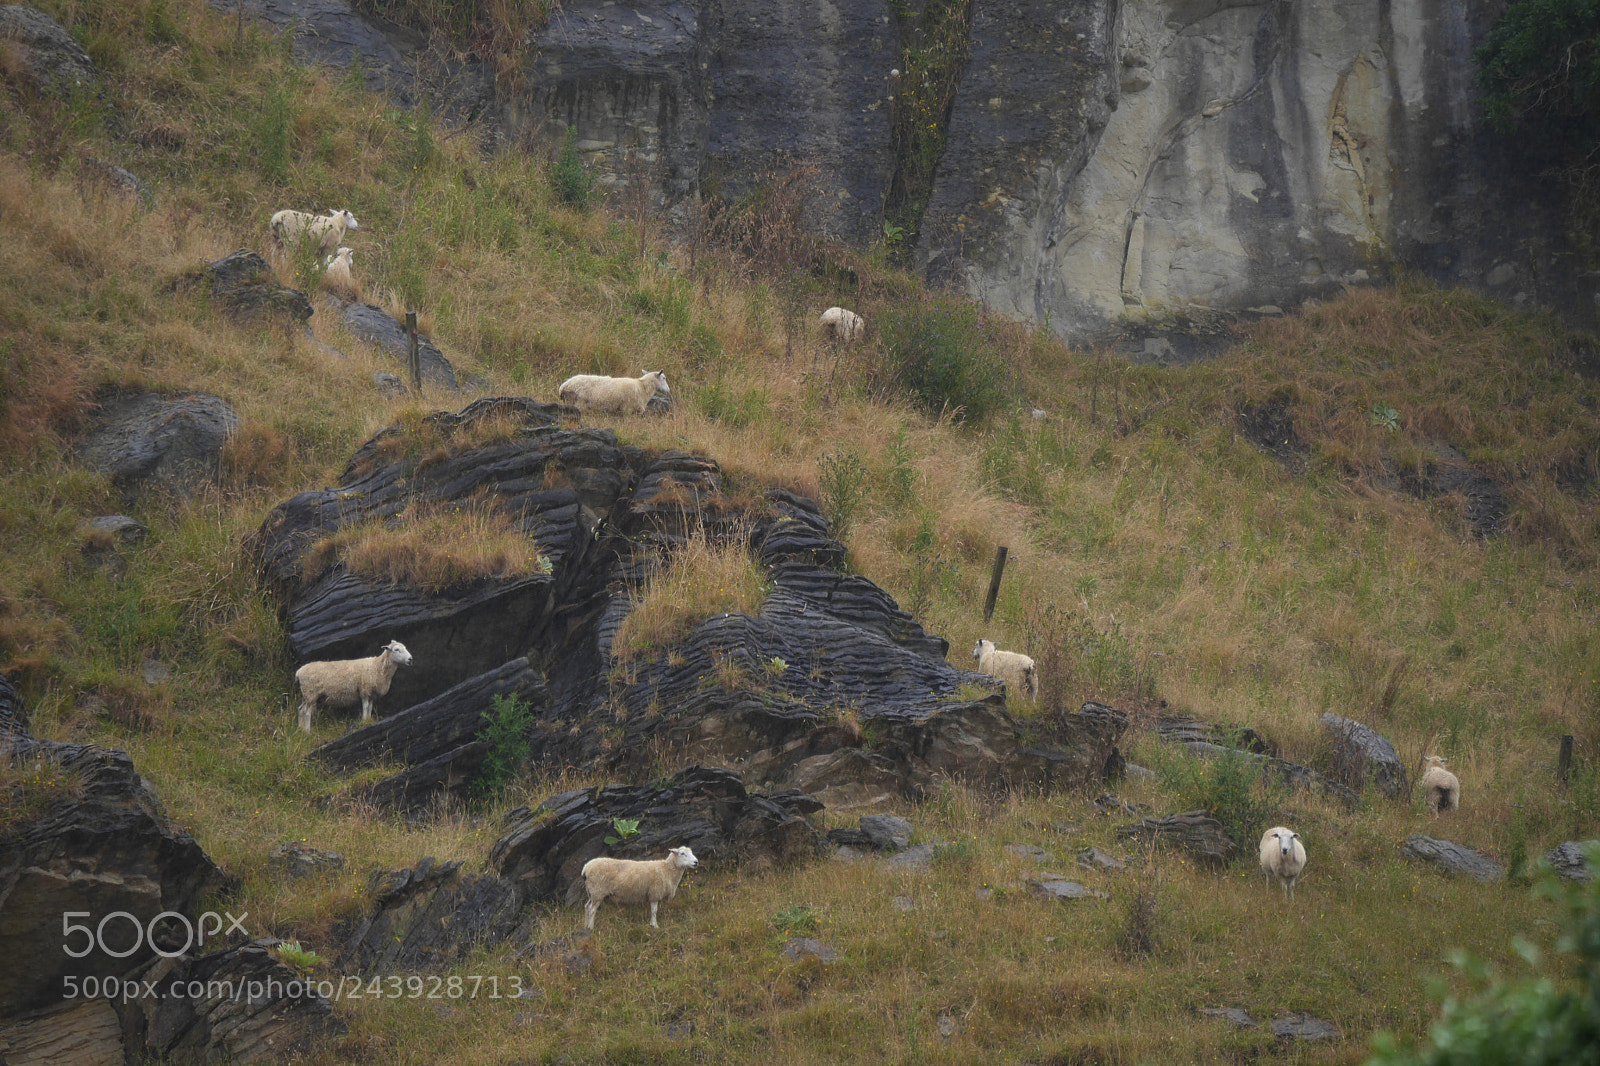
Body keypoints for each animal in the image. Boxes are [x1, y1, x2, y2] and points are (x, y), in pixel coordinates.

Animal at [567, 845, 698, 929]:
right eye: (682, 853)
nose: (696, 862)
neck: (667, 869)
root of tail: (586, 868)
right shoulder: (654, 892)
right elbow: (654, 911)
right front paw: (654, 925)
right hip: (598, 891)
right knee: (591, 910)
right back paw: (591, 928)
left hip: (592, 892)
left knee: (587, 907)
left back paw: (585, 926)